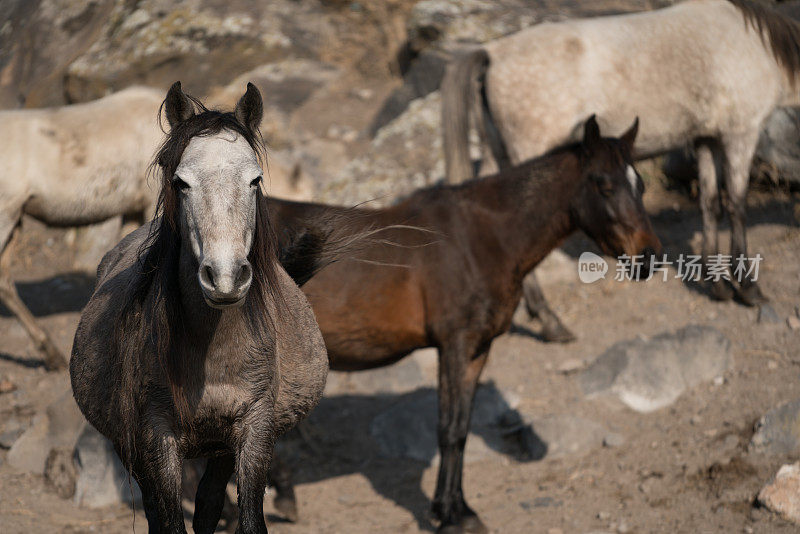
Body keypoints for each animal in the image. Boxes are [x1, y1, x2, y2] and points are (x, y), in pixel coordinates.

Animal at [69, 84, 332, 534]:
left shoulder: (254, 429)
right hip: (132, 450)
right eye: (181, 182)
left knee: (209, 502)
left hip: (221, 450)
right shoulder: (157, 436)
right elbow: (170, 519)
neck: (213, 354)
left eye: (255, 179)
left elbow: (242, 516)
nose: (224, 277)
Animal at [258, 115, 664, 532]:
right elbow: (448, 429)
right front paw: (447, 515)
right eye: (603, 184)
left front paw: (460, 509)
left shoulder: (477, 350)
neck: (483, 238)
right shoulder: (454, 345)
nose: (648, 256)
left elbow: (463, 429)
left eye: (641, 185)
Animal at [440, 0, 796, 340]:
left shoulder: (707, 139)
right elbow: (737, 206)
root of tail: (492, 53)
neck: (754, 42)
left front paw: (717, 283)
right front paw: (748, 289)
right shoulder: (741, 135)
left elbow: (710, 205)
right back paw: (549, 320)